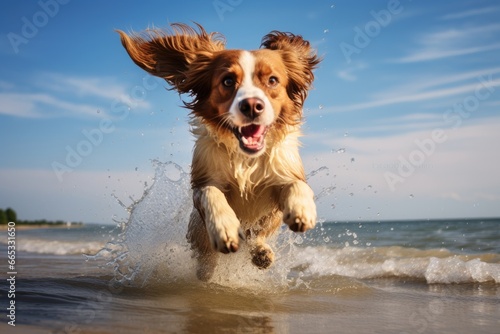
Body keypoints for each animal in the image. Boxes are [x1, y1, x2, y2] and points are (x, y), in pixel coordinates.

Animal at [117, 22, 320, 280]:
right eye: (228, 81)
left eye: (273, 80)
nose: (252, 106)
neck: (246, 158)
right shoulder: (203, 181)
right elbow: (211, 194)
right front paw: (225, 228)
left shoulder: (282, 175)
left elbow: (297, 184)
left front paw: (302, 209)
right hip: (196, 229)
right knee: (206, 256)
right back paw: (207, 269)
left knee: (257, 236)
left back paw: (261, 253)